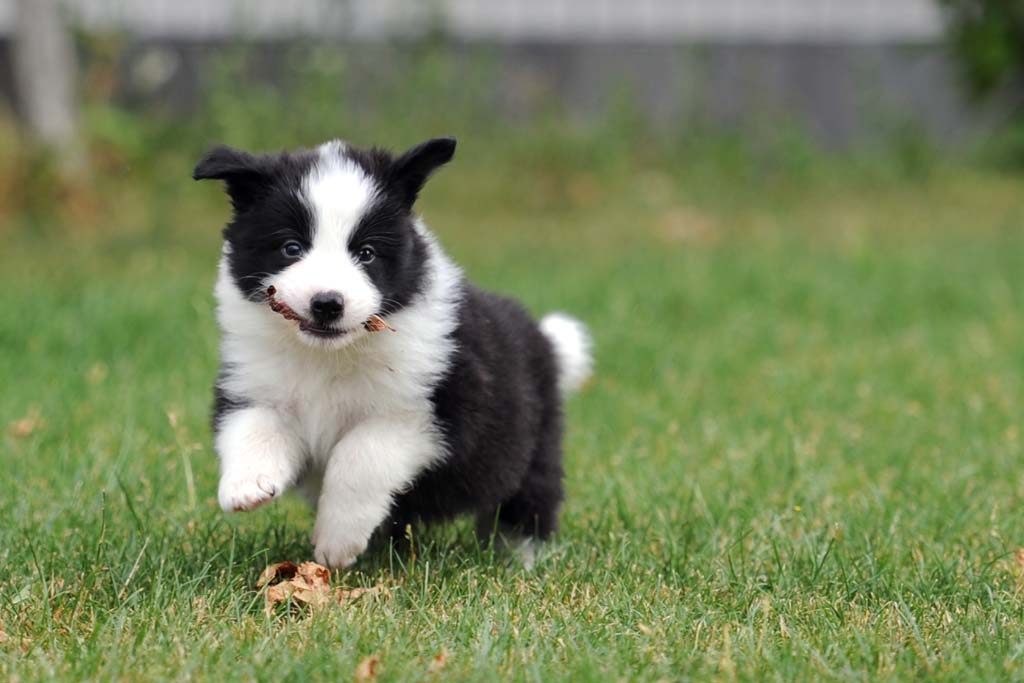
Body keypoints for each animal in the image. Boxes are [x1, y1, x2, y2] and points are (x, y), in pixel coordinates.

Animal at [193, 136, 593, 569]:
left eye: (366, 253)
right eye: (291, 248)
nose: (327, 303)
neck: (328, 355)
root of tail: (544, 341)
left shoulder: (427, 413)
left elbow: (360, 455)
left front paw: (336, 542)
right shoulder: (253, 381)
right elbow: (253, 424)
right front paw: (247, 484)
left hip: (533, 446)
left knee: (527, 504)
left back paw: (519, 559)